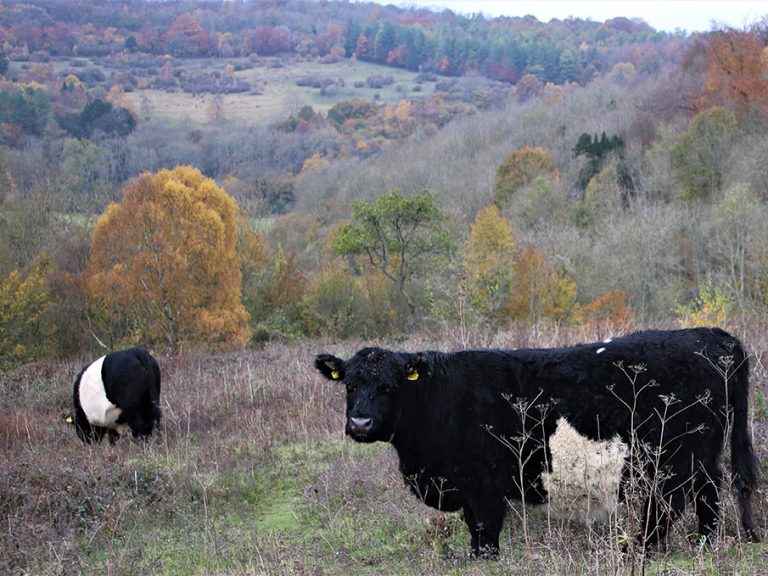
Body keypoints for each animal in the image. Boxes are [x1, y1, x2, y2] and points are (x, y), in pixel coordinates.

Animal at [314, 328, 760, 557]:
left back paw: (645, 548)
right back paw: (694, 544)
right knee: (703, 493)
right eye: (349, 385)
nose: (359, 422)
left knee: (681, 498)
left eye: (389, 386)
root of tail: (712, 335)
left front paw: (483, 559)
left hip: (679, 455)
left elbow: (484, 531)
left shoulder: (482, 487)